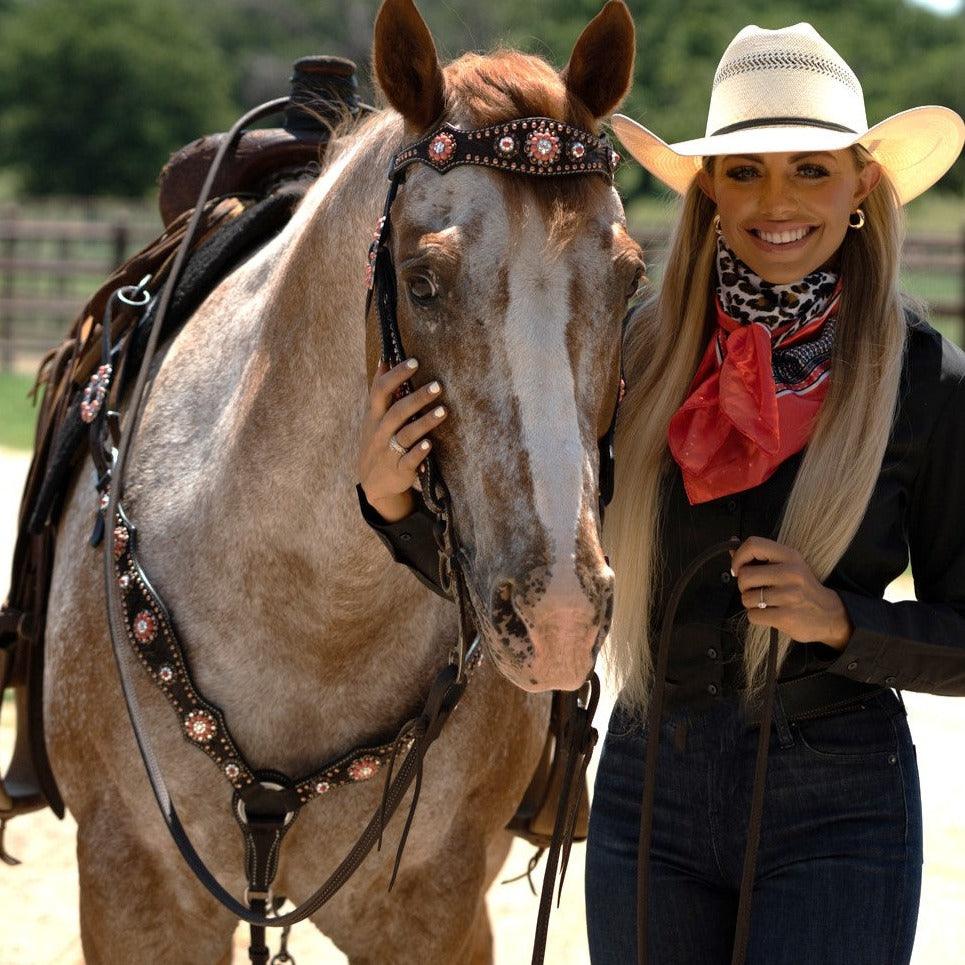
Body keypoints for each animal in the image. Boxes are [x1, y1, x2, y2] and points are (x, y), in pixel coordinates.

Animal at [45, 3, 644, 960]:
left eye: (628, 277)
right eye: (422, 281)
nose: (555, 612)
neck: (306, 610)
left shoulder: (431, 908)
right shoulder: (135, 889)